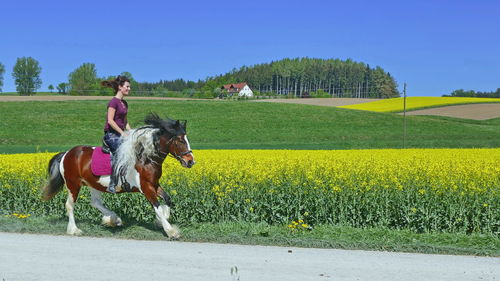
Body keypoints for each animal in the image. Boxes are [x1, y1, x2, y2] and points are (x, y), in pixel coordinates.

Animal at [41, 112, 194, 237]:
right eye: (180, 140)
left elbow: (167, 200)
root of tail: (67, 153)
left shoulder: (154, 184)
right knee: (69, 205)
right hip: (73, 184)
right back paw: (74, 229)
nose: (191, 161)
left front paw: (162, 220)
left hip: (92, 183)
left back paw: (113, 219)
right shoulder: (146, 187)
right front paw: (171, 231)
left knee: (95, 202)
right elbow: (156, 207)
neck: (146, 159)